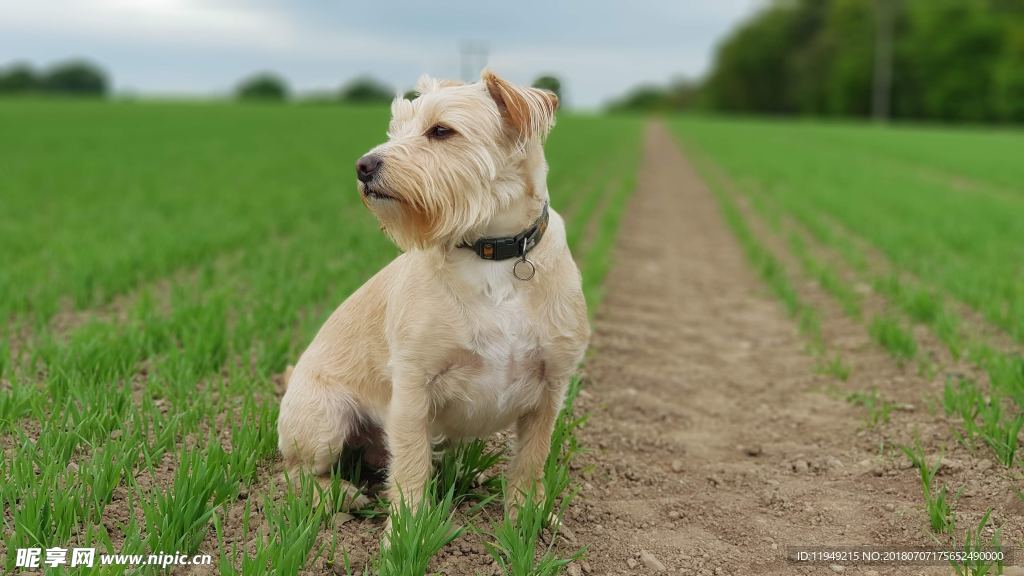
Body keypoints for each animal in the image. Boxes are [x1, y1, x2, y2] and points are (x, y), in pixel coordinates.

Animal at [276, 69, 589, 518]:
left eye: (441, 130)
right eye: (395, 129)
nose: (363, 165)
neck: (490, 254)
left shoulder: (551, 386)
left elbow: (531, 459)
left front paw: (527, 517)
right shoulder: (413, 385)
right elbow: (409, 467)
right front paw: (407, 531)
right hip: (323, 420)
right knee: (295, 473)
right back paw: (339, 494)